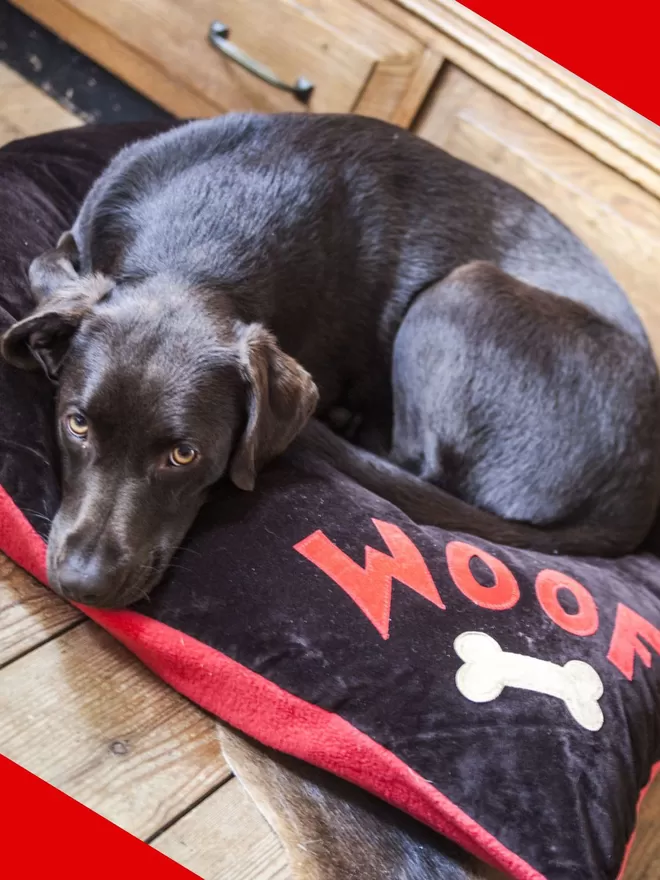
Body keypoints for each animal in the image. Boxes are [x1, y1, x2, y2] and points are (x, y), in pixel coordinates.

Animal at [2, 111, 656, 612]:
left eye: (184, 455)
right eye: (76, 424)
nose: (84, 584)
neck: (196, 255)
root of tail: (633, 502)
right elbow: (43, 263)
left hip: (460, 293)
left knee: (418, 460)